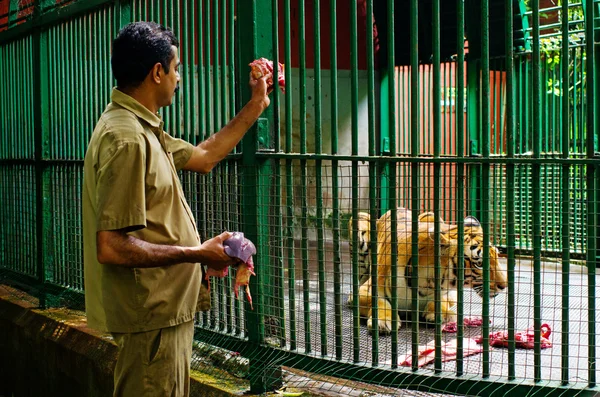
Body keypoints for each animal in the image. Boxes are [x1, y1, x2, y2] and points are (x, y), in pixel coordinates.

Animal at [358, 209, 508, 332]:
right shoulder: (363, 290)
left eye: (497, 256)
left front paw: (445, 315)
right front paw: (382, 321)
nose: (504, 285)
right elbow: (380, 302)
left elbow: (440, 301)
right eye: (480, 264)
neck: (427, 286)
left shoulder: (449, 294)